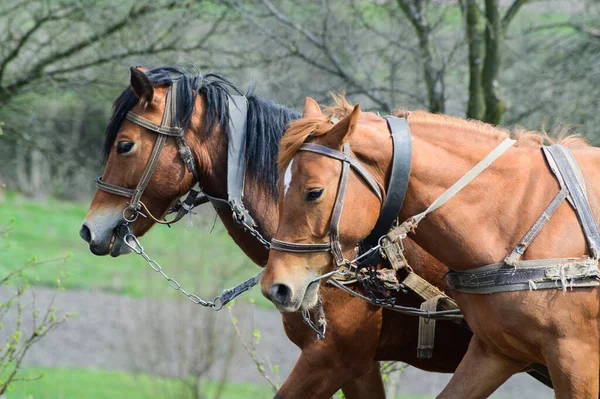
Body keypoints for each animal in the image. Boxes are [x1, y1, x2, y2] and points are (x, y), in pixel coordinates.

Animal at [264, 97, 600, 399]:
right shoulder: (496, 352)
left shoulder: (576, 358)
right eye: (277, 185)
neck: (519, 211)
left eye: (314, 192)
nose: (275, 287)